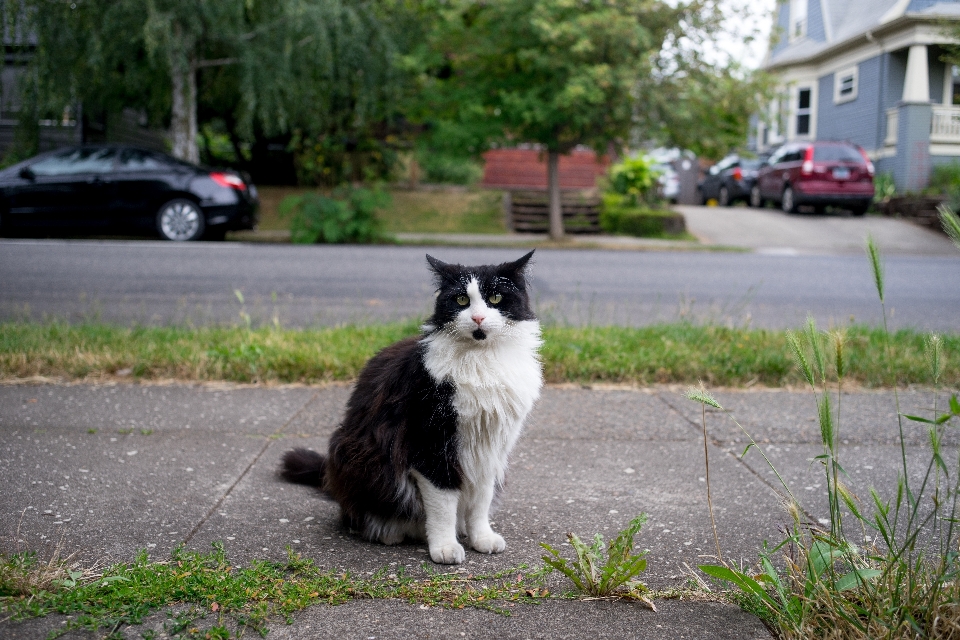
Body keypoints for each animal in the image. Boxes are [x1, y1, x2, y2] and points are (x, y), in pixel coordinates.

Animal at [282, 252, 544, 564]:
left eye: (495, 297)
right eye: (461, 300)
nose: (478, 317)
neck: (482, 360)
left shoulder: (489, 450)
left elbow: (481, 501)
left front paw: (481, 538)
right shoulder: (430, 444)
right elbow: (443, 504)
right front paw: (444, 547)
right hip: (358, 455)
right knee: (358, 516)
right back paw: (388, 532)